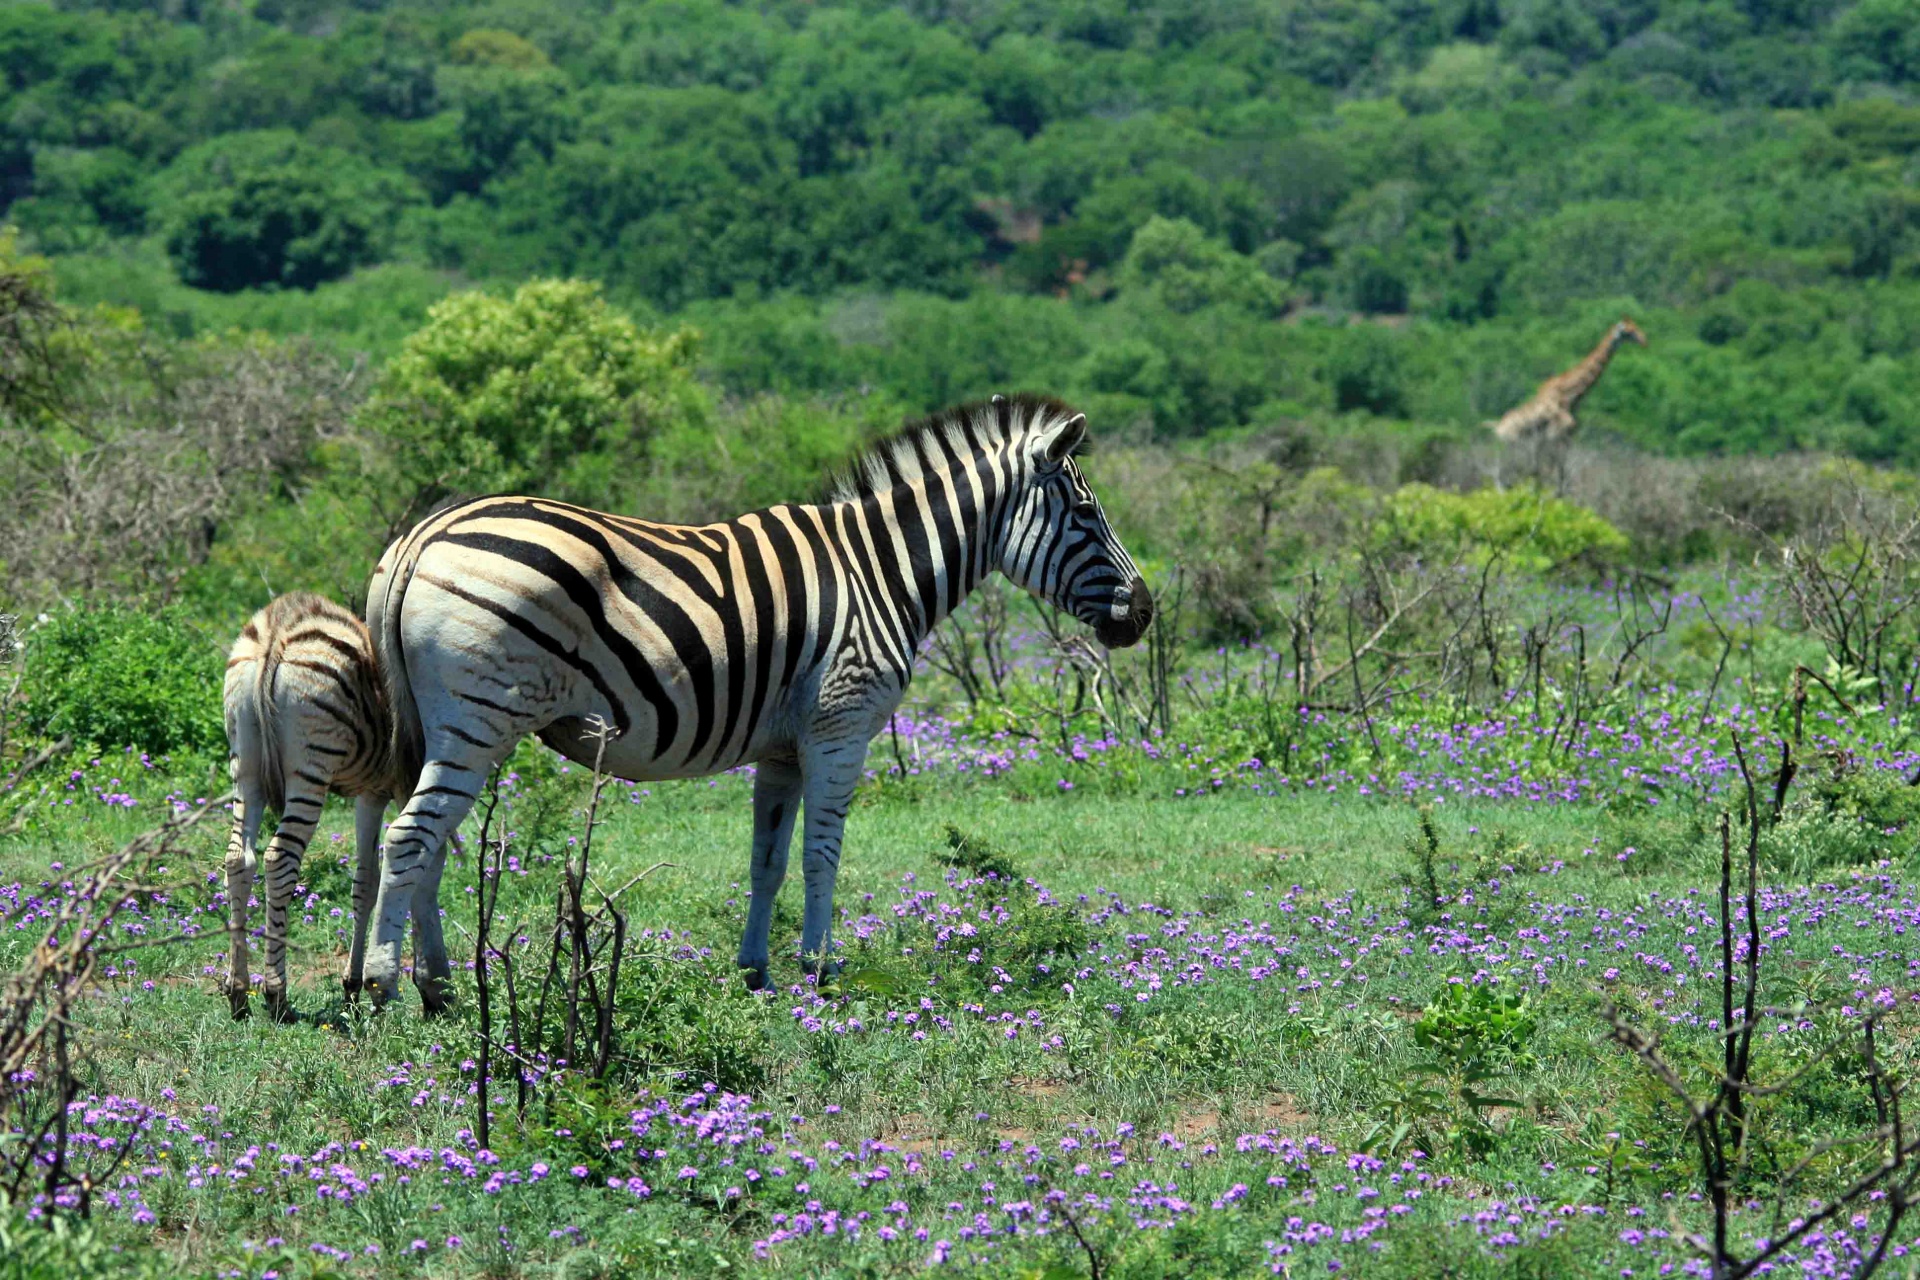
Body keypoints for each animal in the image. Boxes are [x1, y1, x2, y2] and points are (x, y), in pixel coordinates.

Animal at [359, 393, 1144, 1013]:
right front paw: (821, 971)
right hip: (479, 719)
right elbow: (822, 855)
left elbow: (767, 860)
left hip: (444, 724)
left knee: (422, 842)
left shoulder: (783, 750)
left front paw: (755, 972)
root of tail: (423, 535)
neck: (881, 572)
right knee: (412, 838)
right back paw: (385, 984)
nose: (1145, 613)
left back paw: (437, 986)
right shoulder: (840, 726)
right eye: (1085, 513)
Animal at [1482, 318, 1651, 483]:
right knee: (1504, 473)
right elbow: (1553, 473)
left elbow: (1558, 472)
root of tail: (1496, 428)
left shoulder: (1566, 437)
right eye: (1629, 332)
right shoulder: (1555, 434)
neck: (1569, 397)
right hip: (1512, 446)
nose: (1644, 341)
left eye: (1635, 326)